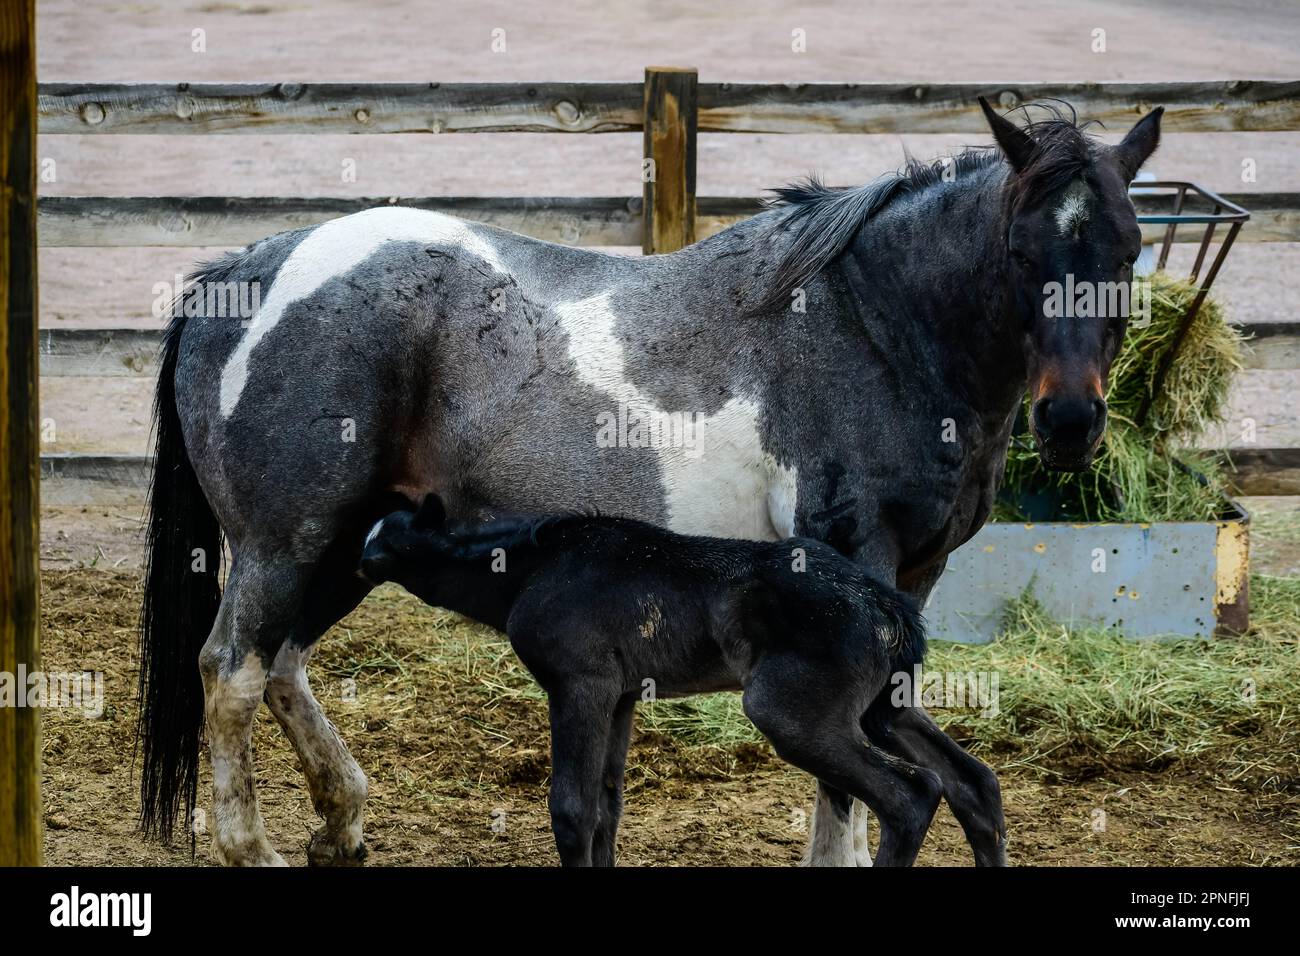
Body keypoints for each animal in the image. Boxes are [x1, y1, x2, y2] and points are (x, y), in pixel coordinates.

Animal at [360, 494, 962, 867]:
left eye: (388, 545)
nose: (358, 564)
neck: (533, 569)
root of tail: (888, 606)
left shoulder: (580, 683)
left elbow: (571, 809)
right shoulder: (622, 694)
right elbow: (607, 808)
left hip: (791, 712)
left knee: (913, 794)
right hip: (876, 709)